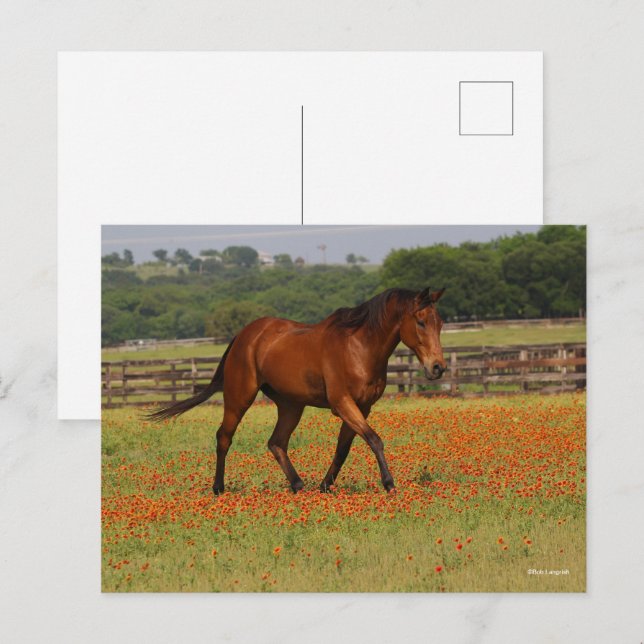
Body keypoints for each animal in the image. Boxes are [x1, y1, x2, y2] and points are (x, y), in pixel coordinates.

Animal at [148, 287, 446, 496]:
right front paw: (389, 484)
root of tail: (244, 335)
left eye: (441, 323)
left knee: (276, 442)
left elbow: (343, 449)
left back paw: (298, 485)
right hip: (239, 398)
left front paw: (325, 487)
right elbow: (374, 439)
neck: (359, 347)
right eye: (420, 322)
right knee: (224, 437)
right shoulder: (343, 403)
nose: (438, 367)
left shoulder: (362, 406)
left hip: (291, 405)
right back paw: (219, 488)